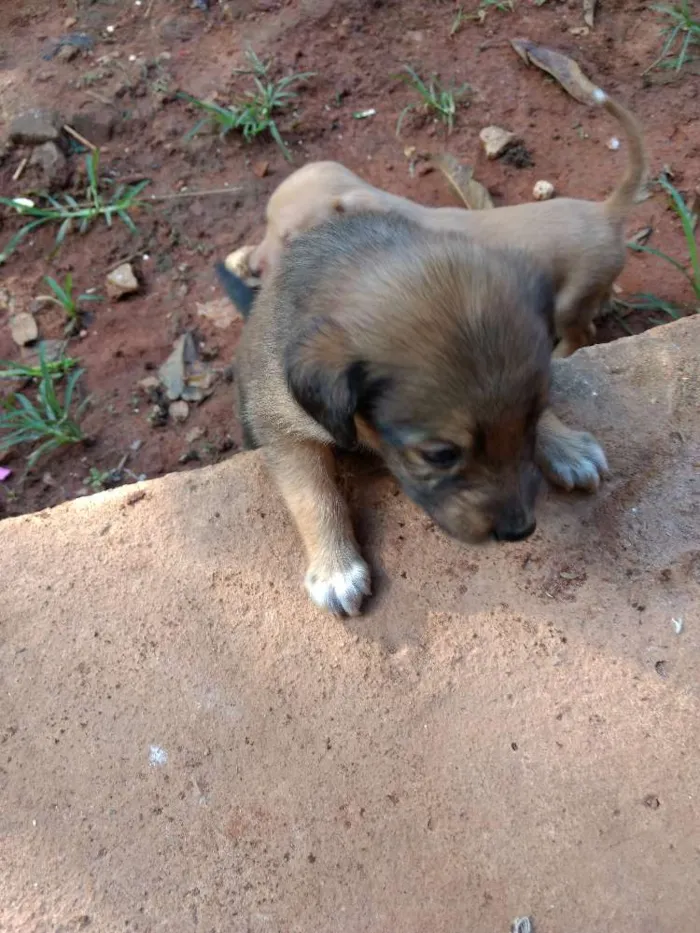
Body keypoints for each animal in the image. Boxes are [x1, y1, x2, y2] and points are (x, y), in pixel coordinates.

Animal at [217, 213, 608, 620]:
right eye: (440, 456)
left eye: (531, 421)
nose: (519, 532)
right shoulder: (281, 424)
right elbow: (313, 496)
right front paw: (335, 568)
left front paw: (565, 445)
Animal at [247, 88, 644, 356]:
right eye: (265, 224)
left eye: (290, 238)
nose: (252, 268)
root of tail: (606, 210)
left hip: (569, 300)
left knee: (580, 334)